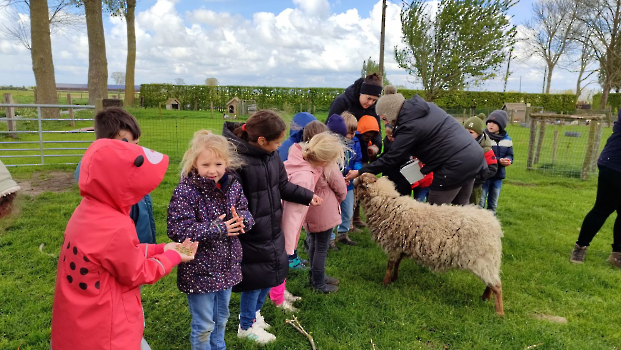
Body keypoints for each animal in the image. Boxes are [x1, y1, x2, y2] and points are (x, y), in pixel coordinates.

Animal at [354, 174, 504, 316]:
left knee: (497, 285)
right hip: (489, 260)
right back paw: (485, 297)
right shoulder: (401, 244)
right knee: (492, 282)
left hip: (482, 258)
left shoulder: (393, 245)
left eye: (360, 182)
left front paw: (385, 283)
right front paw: (394, 279)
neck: (388, 205)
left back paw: (499, 313)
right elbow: (397, 263)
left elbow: (390, 265)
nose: (351, 179)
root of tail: (495, 224)